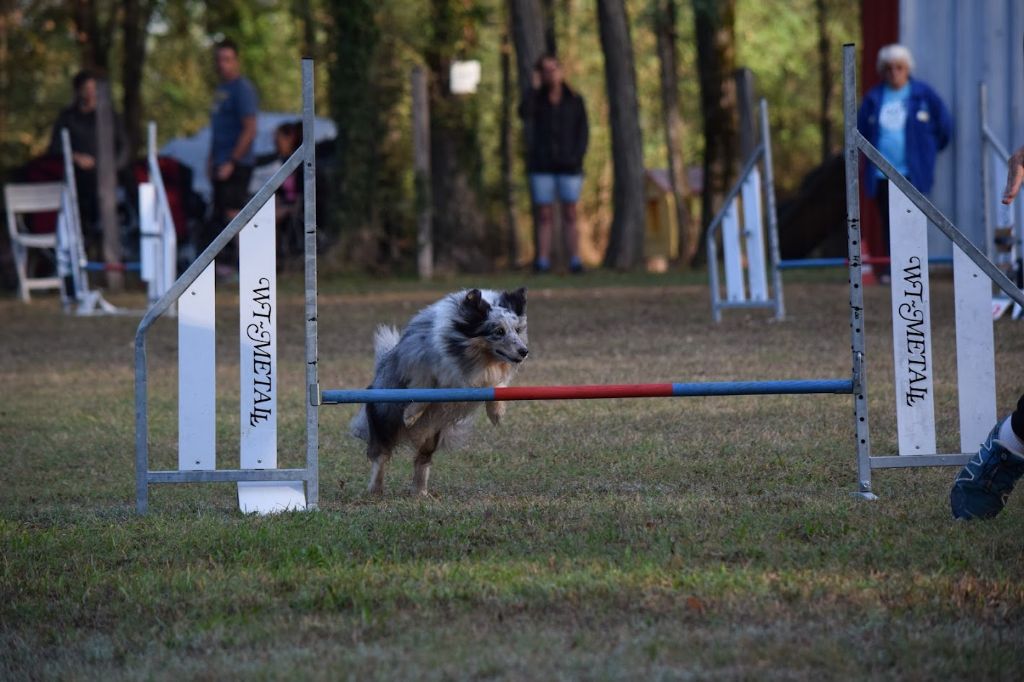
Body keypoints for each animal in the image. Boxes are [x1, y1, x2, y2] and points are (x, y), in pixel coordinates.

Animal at [350, 286, 528, 493]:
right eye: (499, 331)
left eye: (517, 330)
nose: (524, 351)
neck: (479, 358)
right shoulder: (421, 361)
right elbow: (426, 387)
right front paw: (410, 416)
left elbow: (499, 384)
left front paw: (496, 414)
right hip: (385, 418)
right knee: (381, 455)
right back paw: (376, 488)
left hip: (432, 433)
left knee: (422, 459)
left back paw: (420, 491)